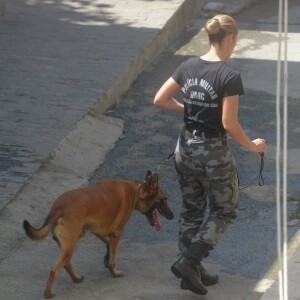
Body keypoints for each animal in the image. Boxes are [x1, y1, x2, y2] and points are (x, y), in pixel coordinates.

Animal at [24, 170, 173, 298]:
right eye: (165, 199)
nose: (172, 216)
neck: (137, 190)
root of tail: (57, 208)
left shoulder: (99, 231)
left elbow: (109, 245)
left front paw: (107, 259)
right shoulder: (116, 233)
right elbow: (114, 255)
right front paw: (114, 271)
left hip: (68, 244)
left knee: (66, 264)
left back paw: (76, 278)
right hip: (71, 244)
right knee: (54, 269)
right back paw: (48, 292)